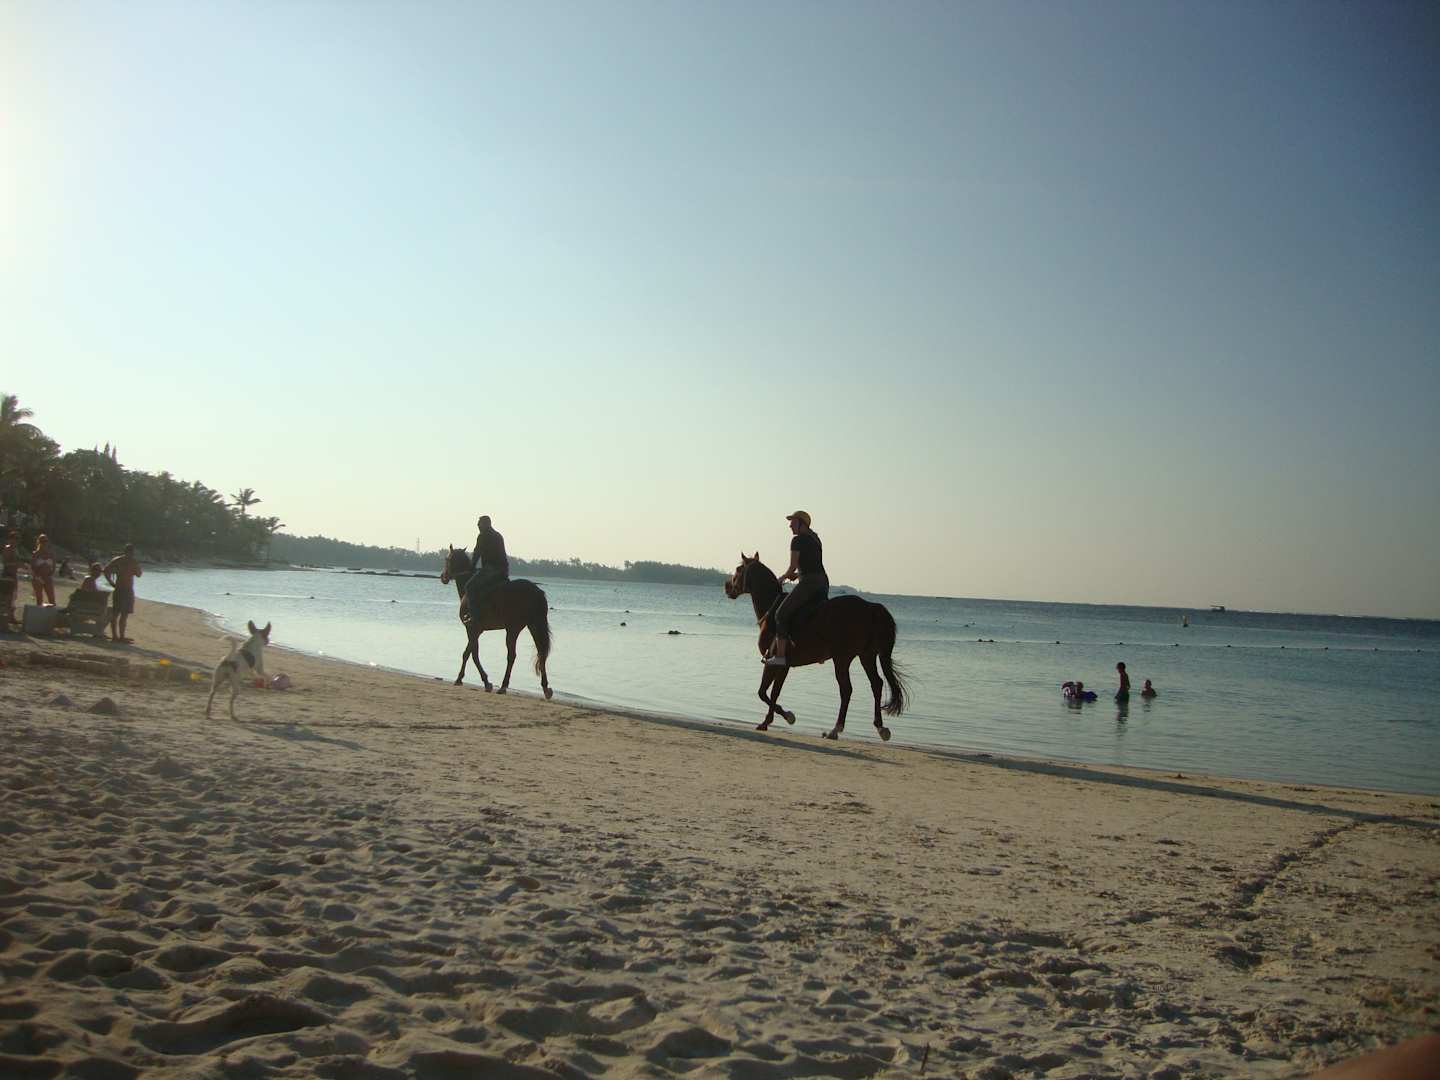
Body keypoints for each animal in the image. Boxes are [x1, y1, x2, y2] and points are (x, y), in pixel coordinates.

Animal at [439, 545, 554, 699]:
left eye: (447, 558)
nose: (443, 577)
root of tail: (536, 592)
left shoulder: (471, 628)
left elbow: (473, 654)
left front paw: (485, 682)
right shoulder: (477, 630)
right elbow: (468, 653)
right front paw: (461, 678)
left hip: (513, 628)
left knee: (511, 656)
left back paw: (504, 686)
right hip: (534, 626)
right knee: (541, 652)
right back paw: (546, 688)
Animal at [724, 553, 909, 741]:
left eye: (739, 569)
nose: (727, 586)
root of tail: (870, 607)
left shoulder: (771, 662)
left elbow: (763, 692)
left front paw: (783, 717)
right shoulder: (784, 666)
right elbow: (775, 692)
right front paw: (772, 720)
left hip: (842, 658)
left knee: (846, 689)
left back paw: (835, 729)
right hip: (867, 655)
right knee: (876, 684)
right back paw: (881, 728)